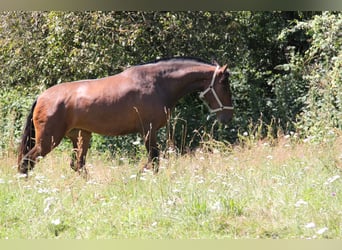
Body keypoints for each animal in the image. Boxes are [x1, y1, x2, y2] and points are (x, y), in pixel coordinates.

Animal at [17, 57, 234, 175]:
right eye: (224, 84)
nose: (228, 116)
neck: (158, 83)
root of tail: (41, 96)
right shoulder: (148, 130)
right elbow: (154, 160)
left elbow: (154, 160)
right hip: (49, 140)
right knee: (27, 161)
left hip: (81, 137)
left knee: (77, 165)